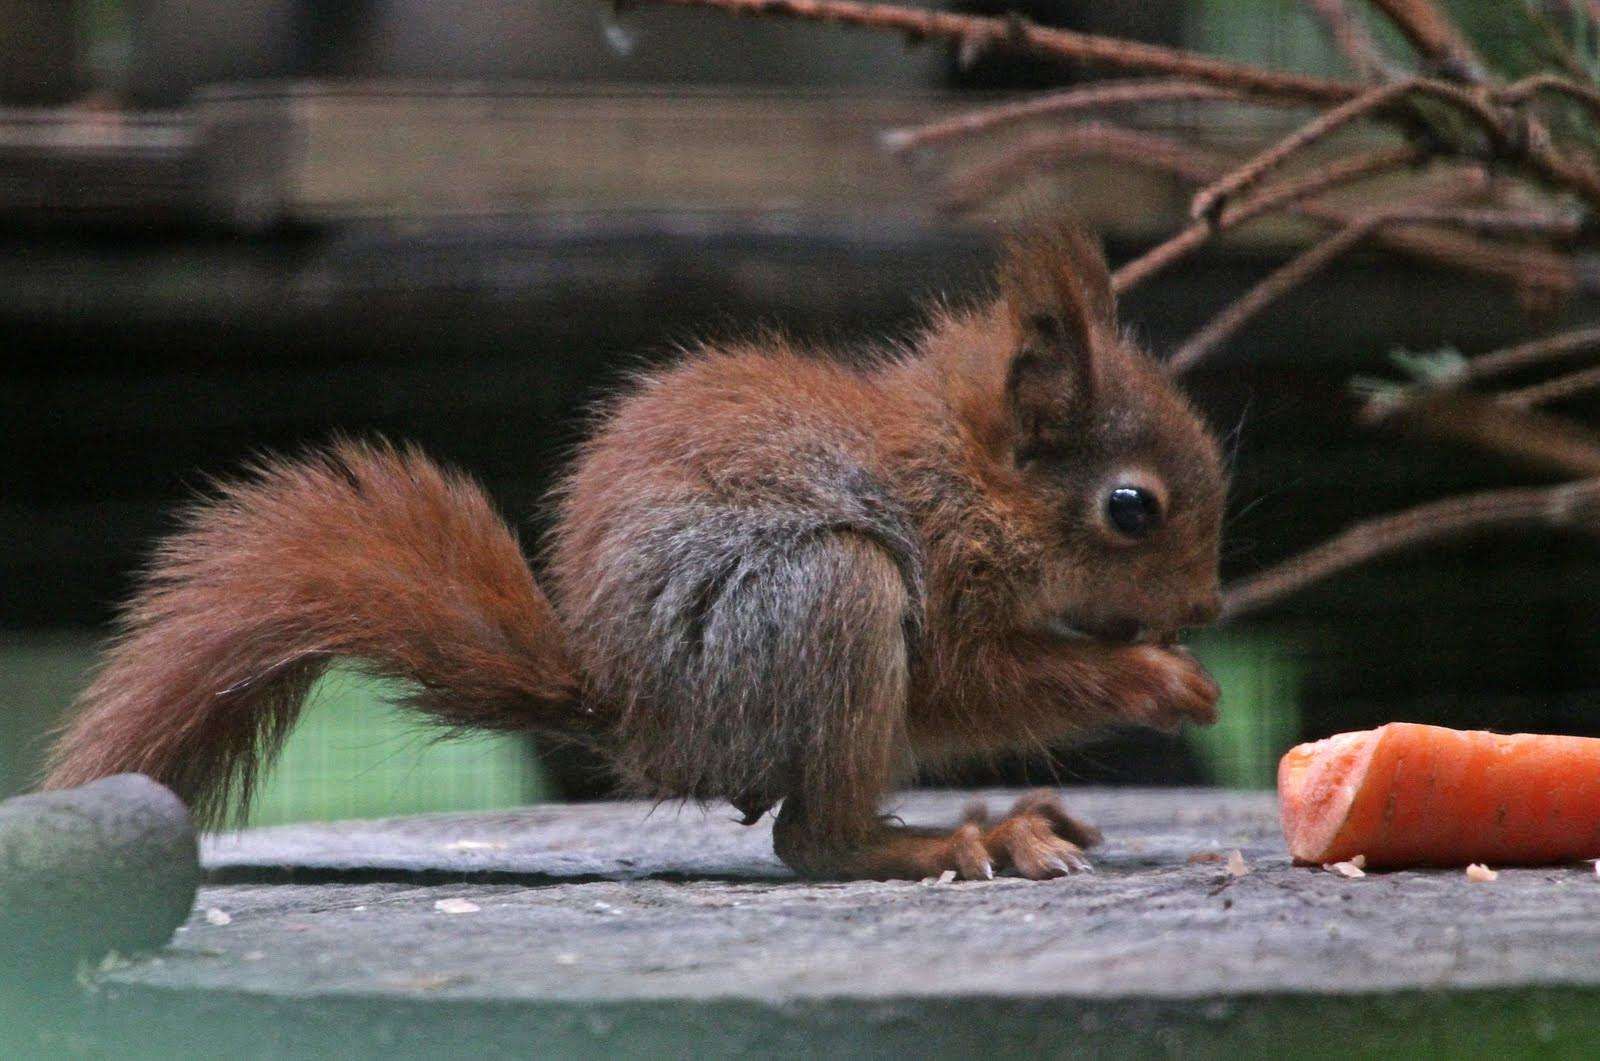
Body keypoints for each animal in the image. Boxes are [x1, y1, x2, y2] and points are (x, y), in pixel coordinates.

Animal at [46, 222, 1222, 876]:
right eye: (1132, 508)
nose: (1207, 608)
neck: (969, 476)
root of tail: (634, 712)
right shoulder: (939, 569)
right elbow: (976, 683)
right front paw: (1155, 678)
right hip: (821, 602)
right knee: (814, 841)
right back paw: (948, 841)